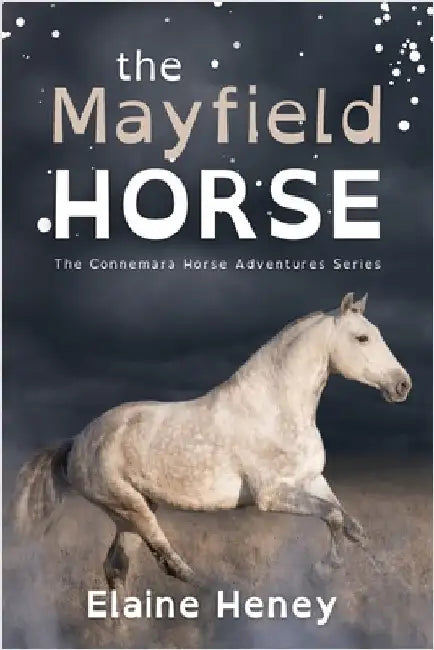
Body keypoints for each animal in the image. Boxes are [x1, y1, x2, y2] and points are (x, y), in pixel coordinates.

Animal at [12, 292, 411, 596]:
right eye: (362, 338)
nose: (402, 385)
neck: (274, 407)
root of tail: (77, 440)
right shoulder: (272, 496)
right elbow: (335, 518)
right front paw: (322, 571)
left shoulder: (313, 481)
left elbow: (351, 525)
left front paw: (383, 575)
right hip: (128, 505)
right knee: (167, 561)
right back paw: (216, 592)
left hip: (128, 513)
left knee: (116, 568)